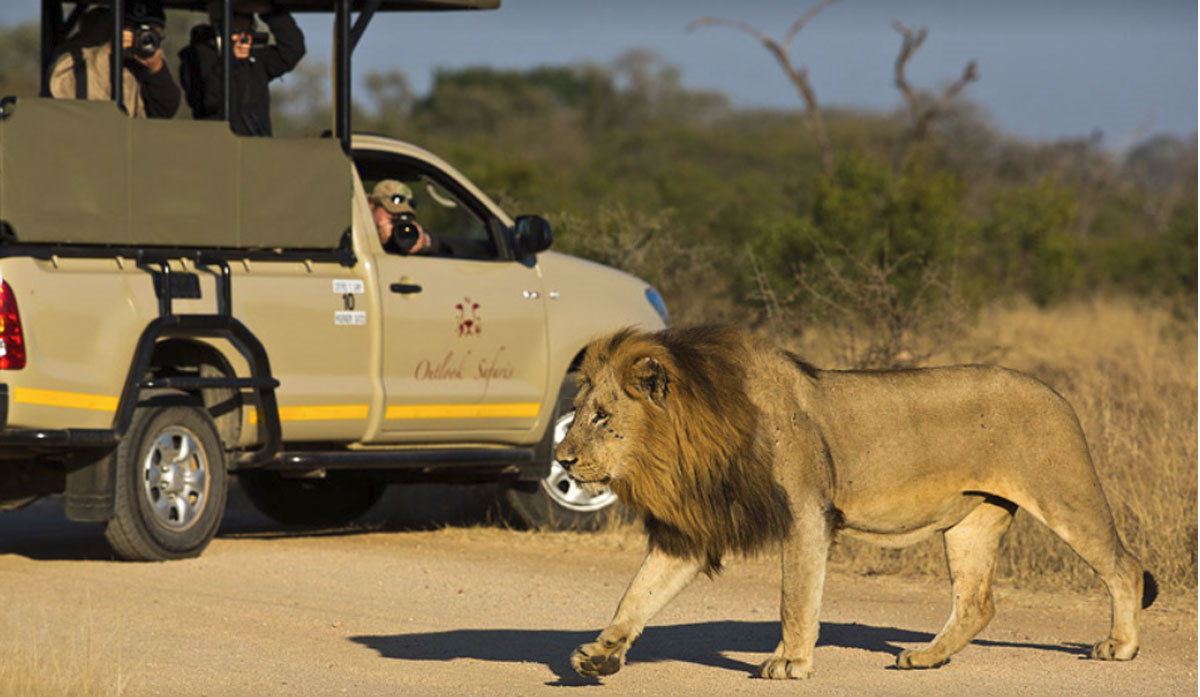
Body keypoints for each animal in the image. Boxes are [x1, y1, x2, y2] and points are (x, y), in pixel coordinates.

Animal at [556, 323, 1156, 681]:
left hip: (1065, 493)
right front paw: (600, 655)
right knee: (976, 602)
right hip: (972, 519)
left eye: (602, 417)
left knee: (1125, 567)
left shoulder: (805, 513)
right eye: (580, 410)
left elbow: (795, 599)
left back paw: (1119, 646)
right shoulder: (693, 532)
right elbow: (636, 596)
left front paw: (789, 662)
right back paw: (925, 657)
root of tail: (1056, 393)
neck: (689, 450)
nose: (561, 458)